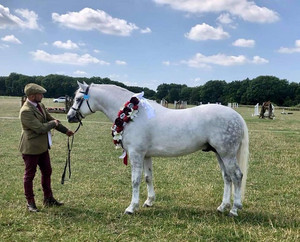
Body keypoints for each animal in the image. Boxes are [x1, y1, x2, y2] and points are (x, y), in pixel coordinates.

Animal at [67, 82, 248, 216]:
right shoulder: (146, 156)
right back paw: (222, 206)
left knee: (237, 176)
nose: (69, 117)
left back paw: (234, 209)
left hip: (227, 154)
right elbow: (148, 178)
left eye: (78, 98)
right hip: (220, 154)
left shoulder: (136, 154)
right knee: (227, 178)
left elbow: (135, 180)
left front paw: (131, 207)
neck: (133, 115)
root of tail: (236, 116)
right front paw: (149, 201)